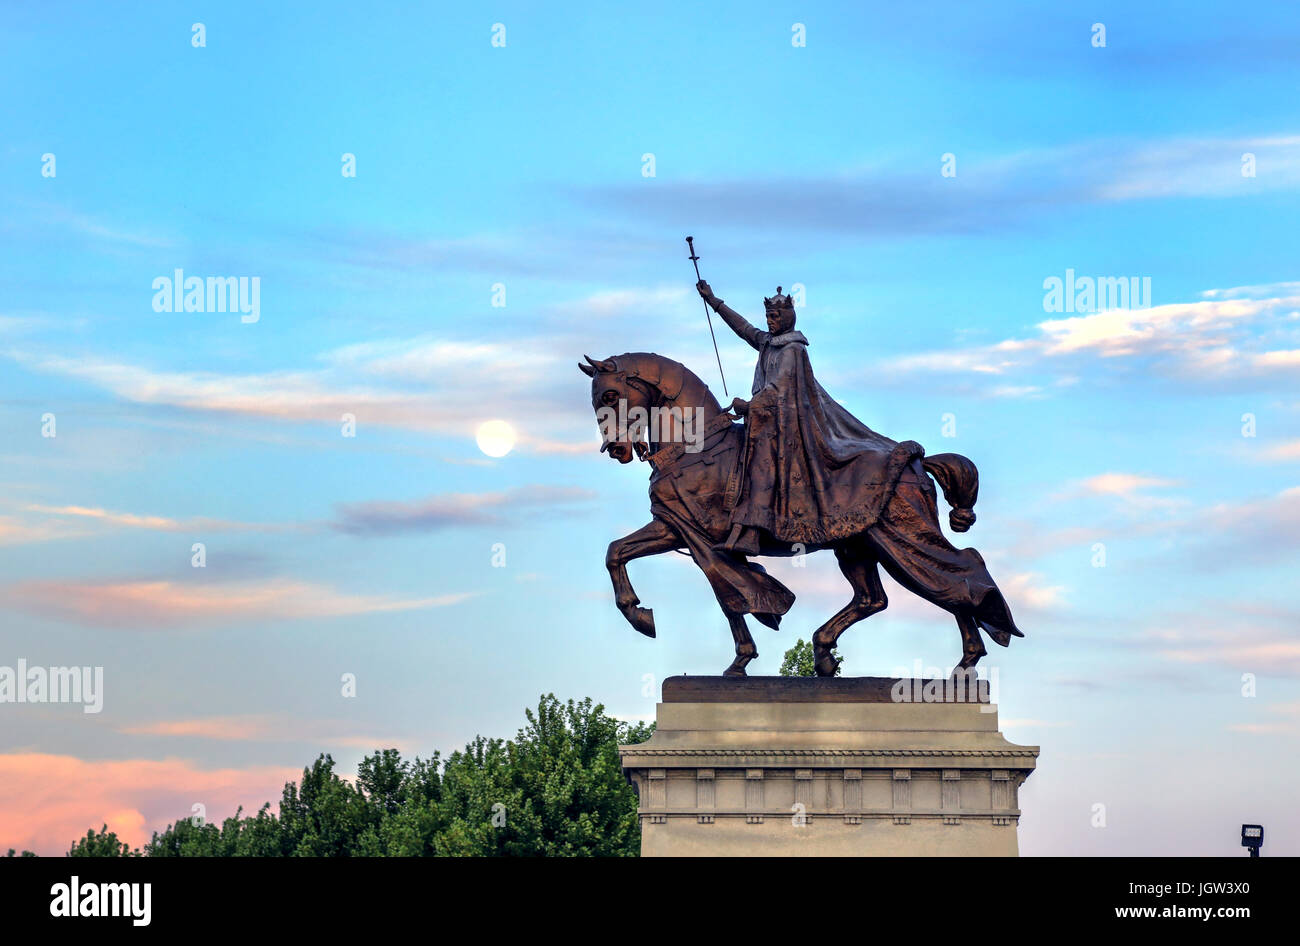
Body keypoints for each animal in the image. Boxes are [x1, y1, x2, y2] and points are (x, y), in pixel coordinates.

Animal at [582, 350, 1024, 675]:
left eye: (609, 396)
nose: (616, 450)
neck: (696, 446)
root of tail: (916, 460)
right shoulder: (679, 529)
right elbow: (619, 552)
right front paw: (733, 655)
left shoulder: (693, 533)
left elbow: (730, 592)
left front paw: (646, 619)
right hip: (857, 546)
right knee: (875, 597)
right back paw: (826, 652)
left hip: (898, 536)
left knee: (954, 574)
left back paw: (967, 660)